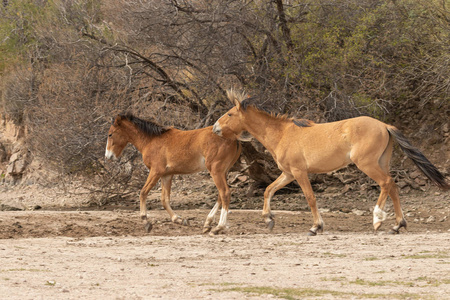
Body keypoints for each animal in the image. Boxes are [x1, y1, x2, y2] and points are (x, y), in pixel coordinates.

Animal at [105, 112, 241, 234]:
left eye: (110, 134)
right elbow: (164, 200)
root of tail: (234, 138)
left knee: (224, 193)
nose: (108, 156)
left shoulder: (156, 171)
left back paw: (219, 227)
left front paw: (146, 222)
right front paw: (179, 220)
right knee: (221, 195)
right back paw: (208, 224)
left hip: (216, 171)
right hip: (223, 172)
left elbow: (143, 193)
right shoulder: (166, 175)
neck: (151, 140)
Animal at [213, 90, 448, 236]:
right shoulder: (288, 174)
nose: (215, 128)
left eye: (230, 114)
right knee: (393, 187)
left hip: (367, 164)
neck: (282, 134)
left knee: (386, 183)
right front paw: (268, 219)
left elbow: (310, 198)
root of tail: (384, 125)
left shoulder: (299, 172)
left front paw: (316, 227)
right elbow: (268, 190)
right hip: (381, 162)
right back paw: (397, 225)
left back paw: (377, 219)